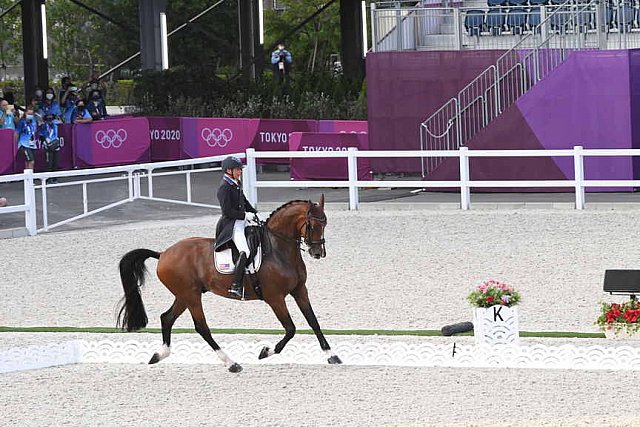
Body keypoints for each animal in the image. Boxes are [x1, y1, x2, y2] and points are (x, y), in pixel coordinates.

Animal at [117, 196, 342, 372]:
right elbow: (290, 328)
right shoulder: (275, 298)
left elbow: (313, 322)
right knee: (201, 327)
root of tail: (163, 253)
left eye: (325, 223)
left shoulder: (299, 290)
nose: (318, 253)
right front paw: (265, 352)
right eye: (312, 224)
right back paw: (231, 363)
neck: (279, 249)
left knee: (167, 318)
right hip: (191, 295)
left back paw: (159, 355)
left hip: (184, 295)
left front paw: (332, 355)